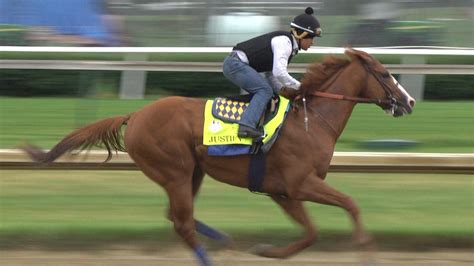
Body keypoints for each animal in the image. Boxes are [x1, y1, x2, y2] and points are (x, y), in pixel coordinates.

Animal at [24, 48, 414, 266]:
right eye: (384, 73)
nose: (409, 101)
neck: (312, 120)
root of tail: (135, 115)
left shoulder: (282, 191)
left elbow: (312, 232)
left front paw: (266, 250)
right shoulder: (299, 184)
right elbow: (345, 207)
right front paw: (367, 252)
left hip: (192, 172)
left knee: (177, 216)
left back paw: (225, 241)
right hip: (175, 170)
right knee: (181, 222)